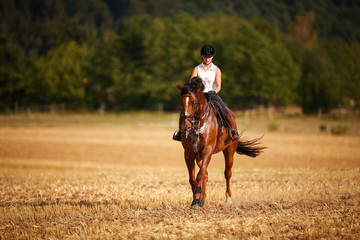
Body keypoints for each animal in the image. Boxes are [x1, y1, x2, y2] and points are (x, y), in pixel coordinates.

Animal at [174, 77, 264, 210]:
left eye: (194, 103)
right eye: (181, 102)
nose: (186, 126)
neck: (197, 125)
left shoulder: (207, 151)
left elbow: (200, 175)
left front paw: (196, 201)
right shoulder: (189, 154)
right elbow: (193, 178)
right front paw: (196, 200)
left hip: (229, 152)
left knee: (227, 173)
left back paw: (228, 199)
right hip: (199, 156)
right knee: (206, 174)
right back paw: (203, 199)